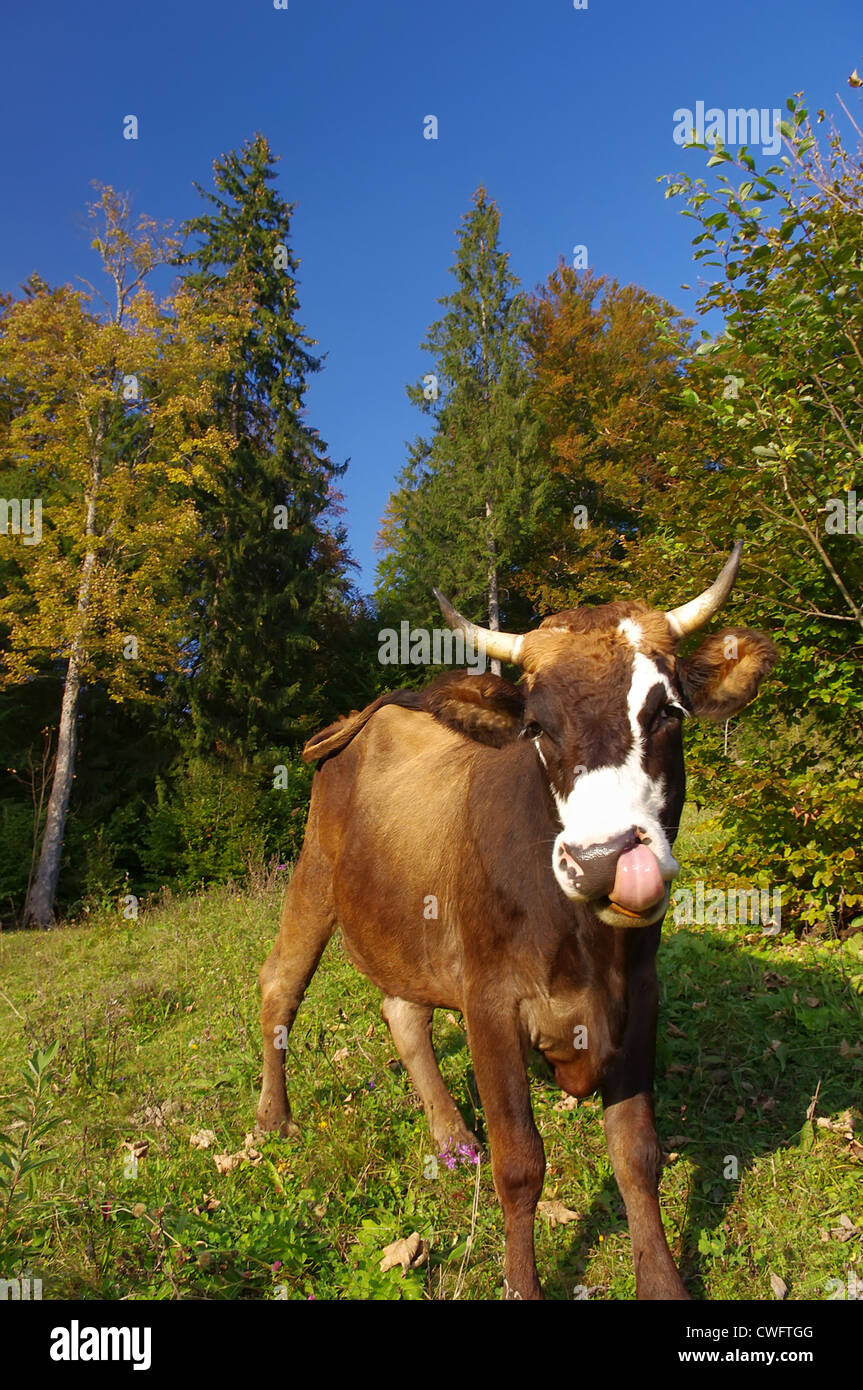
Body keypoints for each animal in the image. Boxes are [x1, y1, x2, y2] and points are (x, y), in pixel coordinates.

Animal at [254, 536, 772, 1295]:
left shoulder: (641, 994)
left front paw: (662, 1280)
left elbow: (637, 1154)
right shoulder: (490, 1001)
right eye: (535, 727)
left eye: (667, 712)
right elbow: (521, 1164)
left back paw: (450, 1138)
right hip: (314, 874)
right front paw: (522, 1282)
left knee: (403, 1013)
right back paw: (272, 1121)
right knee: (280, 987)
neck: (586, 947)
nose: (602, 860)